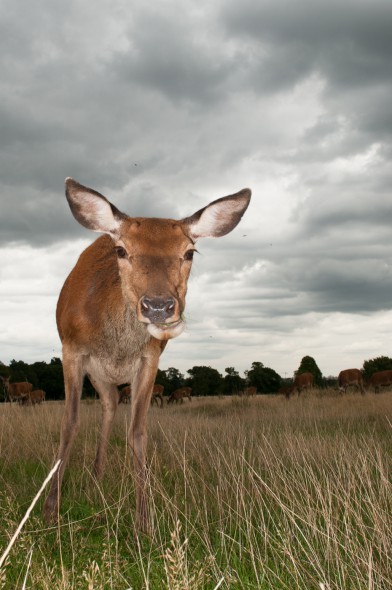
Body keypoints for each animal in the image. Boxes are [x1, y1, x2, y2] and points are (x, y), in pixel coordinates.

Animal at [43, 178, 251, 536]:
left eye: (189, 252)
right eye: (121, 250)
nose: (158, 306)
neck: (116, 344)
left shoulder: (149, 359)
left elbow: (137, 432)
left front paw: (145, 520)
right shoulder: (71, 350)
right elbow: (68, 424)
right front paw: (50, 511)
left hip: (109, 378)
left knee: (111, 405)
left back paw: (97, 478)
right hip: (95, 371)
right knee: (106, 406)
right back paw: (93, 480)